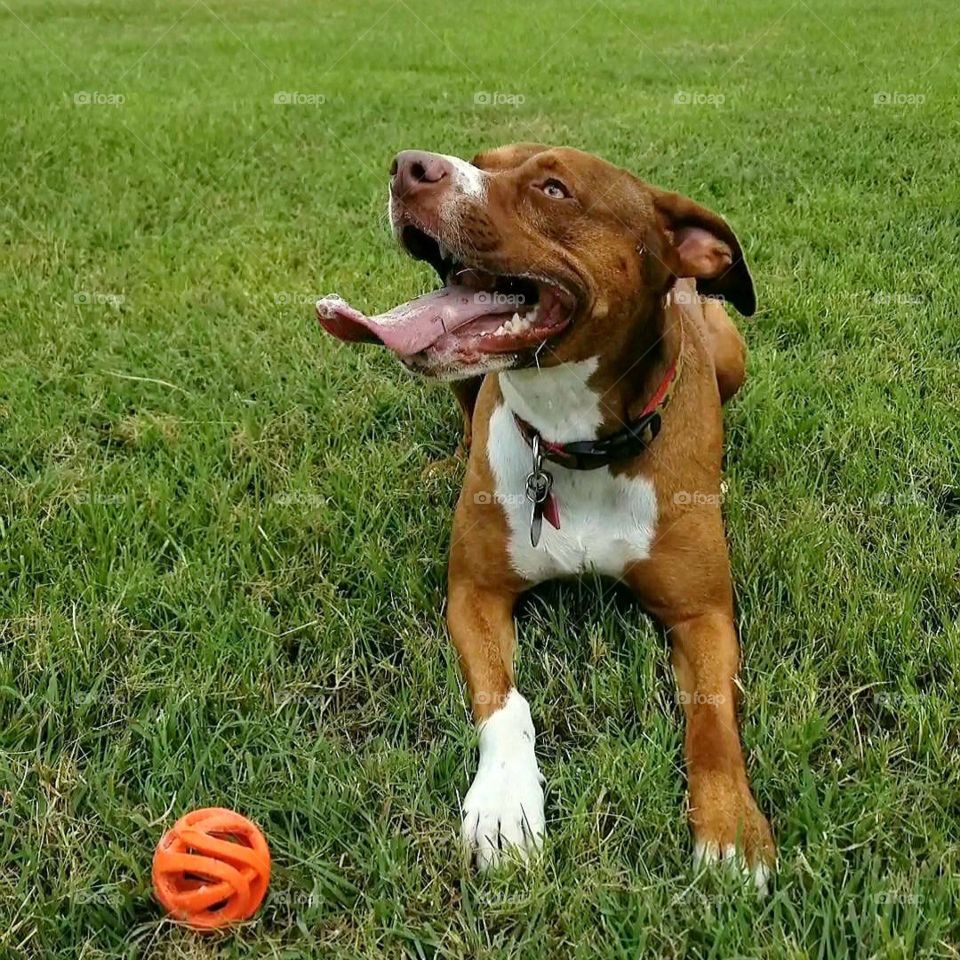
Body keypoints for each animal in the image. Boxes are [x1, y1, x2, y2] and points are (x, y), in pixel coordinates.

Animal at [318, 144, 776, 892]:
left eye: (554, 189)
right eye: (482, 160)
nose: (410, 165)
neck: (572, 440)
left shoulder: (703, 612)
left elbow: (711, 714)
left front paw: (731, 828)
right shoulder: (475, 594)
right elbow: (508, 703)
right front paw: (506, 804)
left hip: (732, 352)